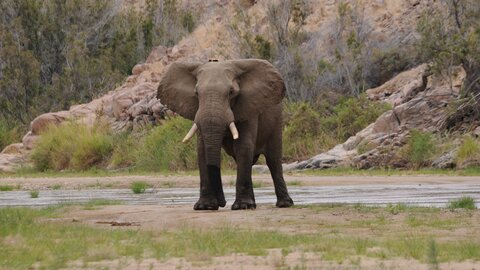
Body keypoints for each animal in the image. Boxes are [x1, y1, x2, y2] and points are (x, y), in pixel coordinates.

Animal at [158, 59, 292, 211]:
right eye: (196, 93)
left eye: (231, 92)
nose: (222, 203)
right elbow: (202, 150)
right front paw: (205, 206)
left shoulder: (248, 107)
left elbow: (243, 147)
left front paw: (242, 206)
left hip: (277, 120)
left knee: (273, 160)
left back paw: (284, 204)